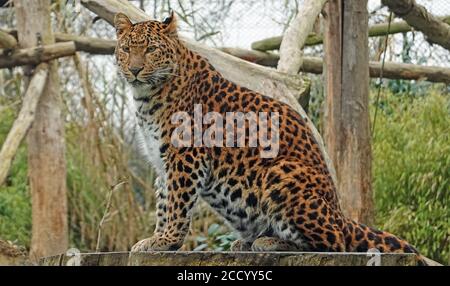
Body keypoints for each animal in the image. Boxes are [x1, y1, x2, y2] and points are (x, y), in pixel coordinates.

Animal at [112, 12, 426, 264]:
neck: (147, 96)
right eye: (126, 50)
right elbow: (163, 201)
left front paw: (167, 241)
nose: (135, 70)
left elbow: (177, 203)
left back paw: (268, 242)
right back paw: (248, 242)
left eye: (151, 49)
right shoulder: (162, 160)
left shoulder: (185, 155)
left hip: (281, 171)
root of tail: (342, 216)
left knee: (335, 242)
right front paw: (155, 240)